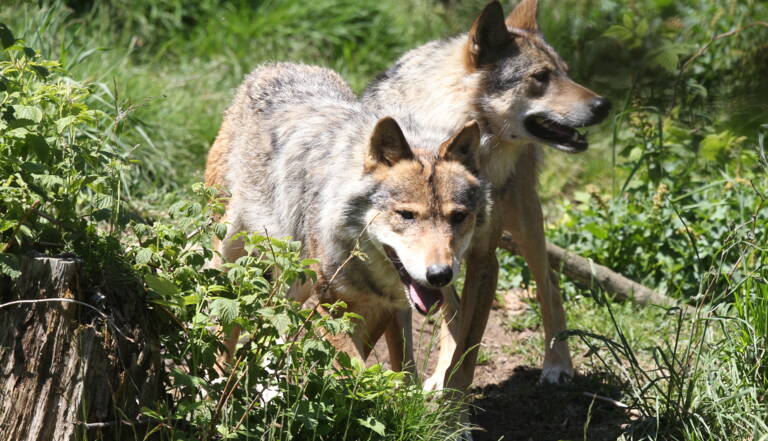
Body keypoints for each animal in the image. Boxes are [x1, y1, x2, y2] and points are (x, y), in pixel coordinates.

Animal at [204, 63, 490, 375]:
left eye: (458, 217)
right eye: (406, 215)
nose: (440, 275)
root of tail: (272, 66)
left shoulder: (390, 307)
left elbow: (403, 370)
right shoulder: (329, 306)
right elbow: (356, 369)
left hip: (294, 283)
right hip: (230, 253)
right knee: (225, 321)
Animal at [363, 0, 611, 391]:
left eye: (567, 73)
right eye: (541, 77)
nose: (604, 104)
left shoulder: (485, 260)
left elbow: (468, 349)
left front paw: (454, 405)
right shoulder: (399, 259)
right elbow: (405, 349)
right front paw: (412, 395)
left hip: (525, 222)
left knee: (550, 283)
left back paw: (557, 364)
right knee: (452, 308)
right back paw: (437, 376)